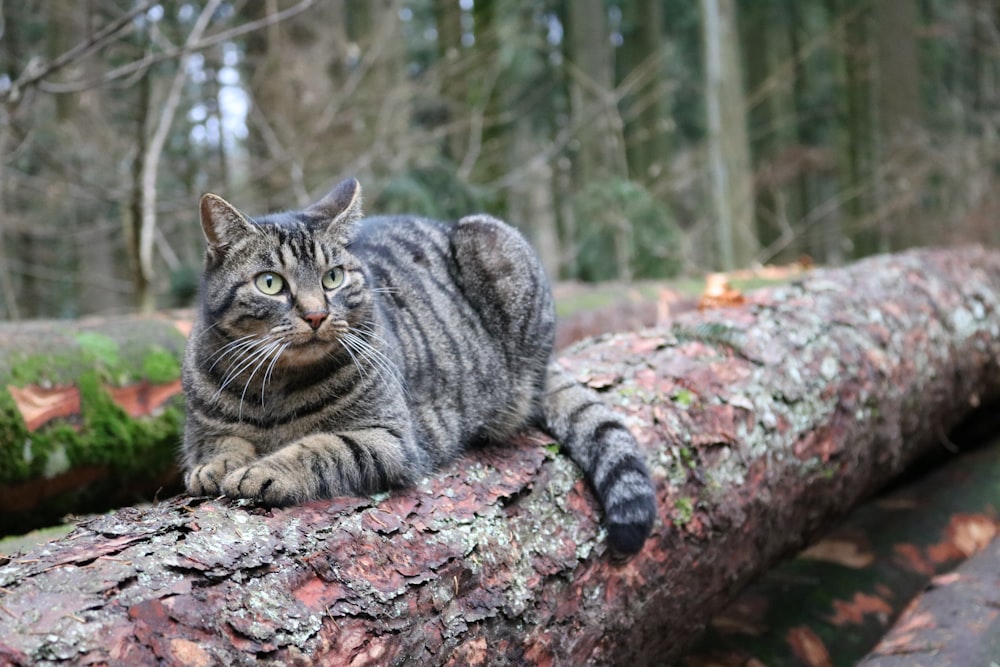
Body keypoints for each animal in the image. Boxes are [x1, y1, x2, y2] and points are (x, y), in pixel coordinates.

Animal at [184, 179, 660, 560]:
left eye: (333, 277)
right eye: (271, 283)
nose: (317, 315)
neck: (276, 386)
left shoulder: (389, 440)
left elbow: (319, 448)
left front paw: (263, 471)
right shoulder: (202, 431)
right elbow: (221, 443)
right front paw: (216, 467)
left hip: (494, 241)